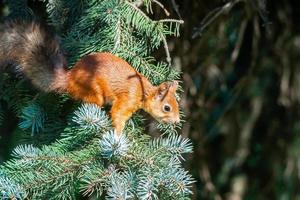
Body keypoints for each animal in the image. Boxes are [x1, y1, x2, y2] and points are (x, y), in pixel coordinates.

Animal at [0, 20, 180, 136]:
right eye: (167, 108)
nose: (177, 121)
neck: (143, 91)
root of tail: (69, 78)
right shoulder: (127, 99)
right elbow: (118, 114)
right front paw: (118, 136)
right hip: (92, 90)